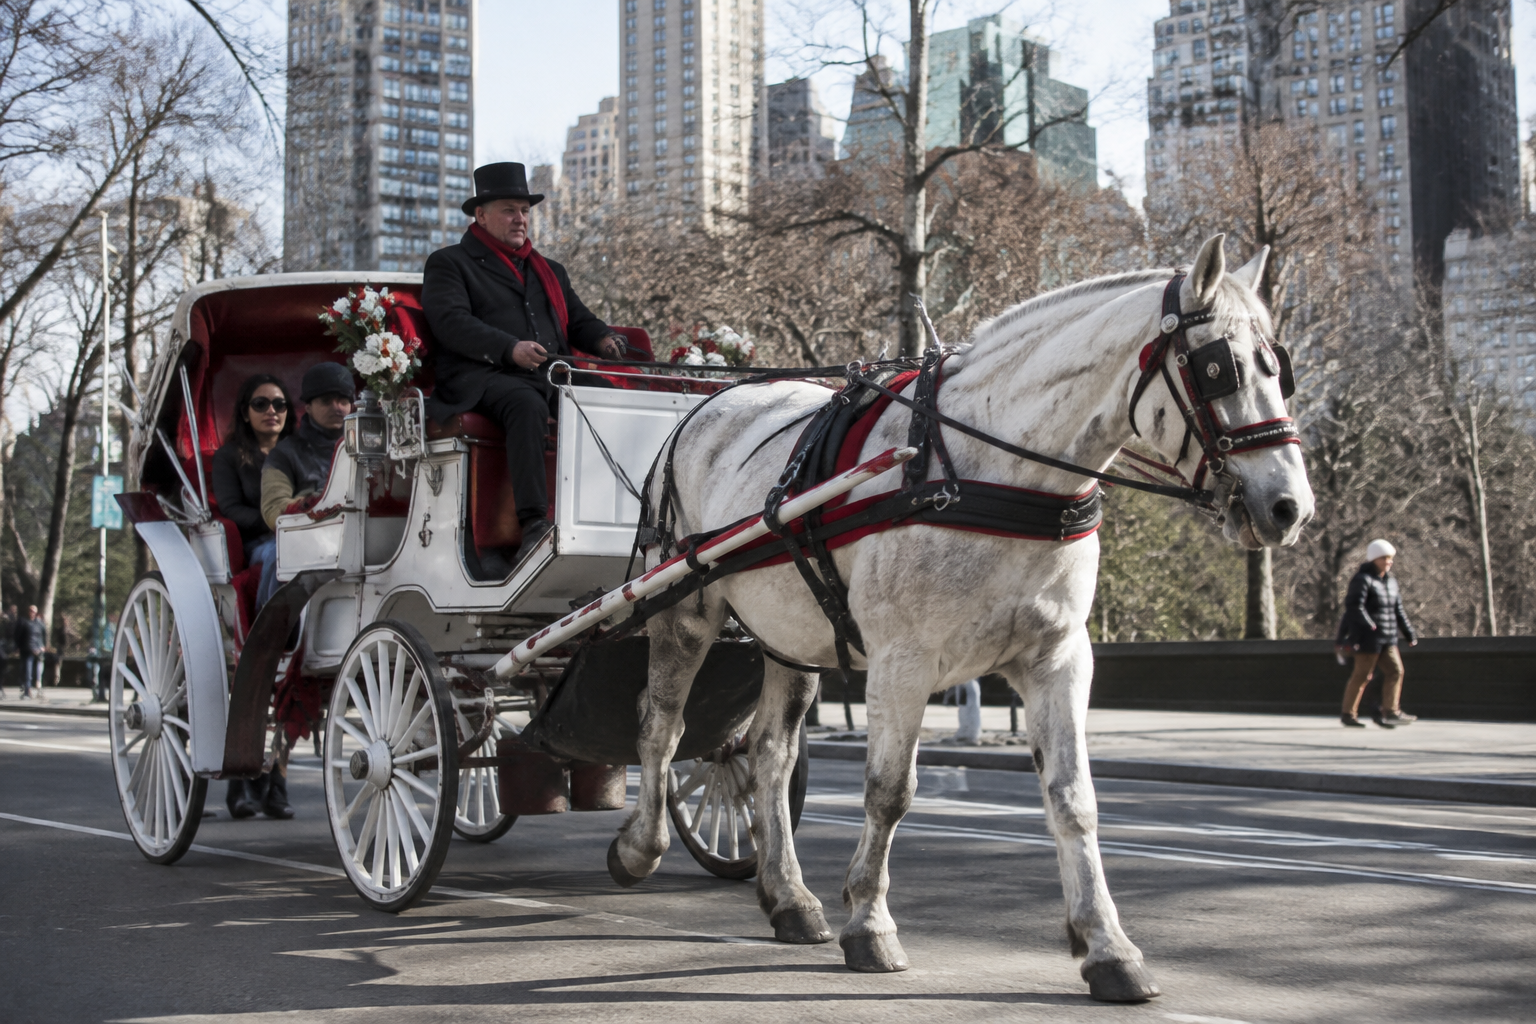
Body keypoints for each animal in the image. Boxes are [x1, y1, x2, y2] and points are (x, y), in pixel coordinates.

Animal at [607, 235, 1314, 1002]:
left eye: (1280, 369)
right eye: (1219, 368)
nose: (1290, 507)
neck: (993, 470)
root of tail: (707, 402)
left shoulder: (1057, 658)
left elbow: (1073, 798)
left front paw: (1107, 946)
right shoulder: (903, 661)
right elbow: (889, 792)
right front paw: (871, 923)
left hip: (790, 638)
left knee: (768, 754)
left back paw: (787, 894)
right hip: (685, 609)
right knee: (662, 727)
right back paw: (640, 846)